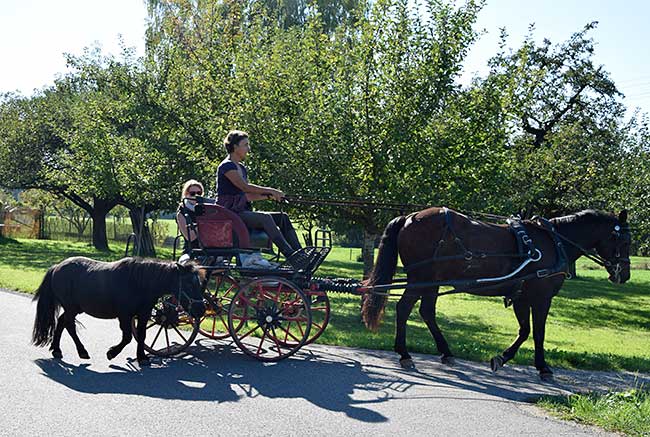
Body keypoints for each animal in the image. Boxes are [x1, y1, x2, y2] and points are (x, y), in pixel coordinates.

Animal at [32, 255, 205, 364]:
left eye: (200, 284)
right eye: (189, 284)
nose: (201, 310)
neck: (138, 282)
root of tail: (57, 266)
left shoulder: (143, 314)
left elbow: (141, 335)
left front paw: (142, 357)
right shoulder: (124, 315)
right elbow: (127, 337)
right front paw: (112, 353)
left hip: (74, 309)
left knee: (62, 322)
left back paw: (57, 349)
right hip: (71, 307)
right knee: (69, 325)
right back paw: (81, 351)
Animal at [360, 207, 628, 378]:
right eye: (625, 239)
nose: (623, 275)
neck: (553, 242)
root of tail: (409, 217)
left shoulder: (521, 296)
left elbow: (525, 330)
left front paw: (502, 358)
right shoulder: (541, 298)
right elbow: (538, 333)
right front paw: (543, 368)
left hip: (432, 280)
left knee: (426, 312)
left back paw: (445, 352)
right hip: (421, 278)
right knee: (404, 308)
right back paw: (405, 353)